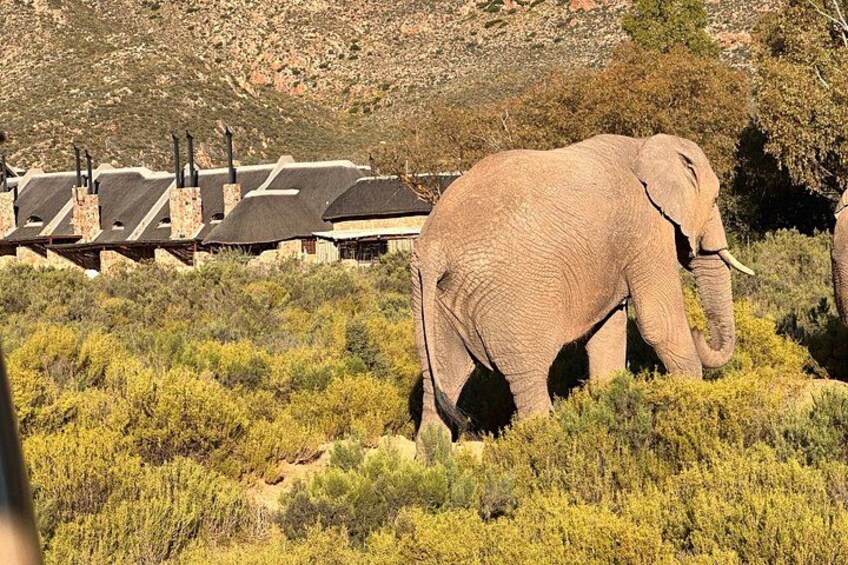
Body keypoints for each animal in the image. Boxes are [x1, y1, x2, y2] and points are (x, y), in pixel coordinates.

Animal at [411, 133, 755, 449]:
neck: (645, 144)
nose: (700, 332)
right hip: (511, 298)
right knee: (527, 377)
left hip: (429, 297)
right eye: (714, 200)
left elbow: (607, 332)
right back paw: (540, 442)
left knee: (443, 375)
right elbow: (659, 323)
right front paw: (691, 401)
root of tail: (435, 250)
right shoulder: (645, 228)